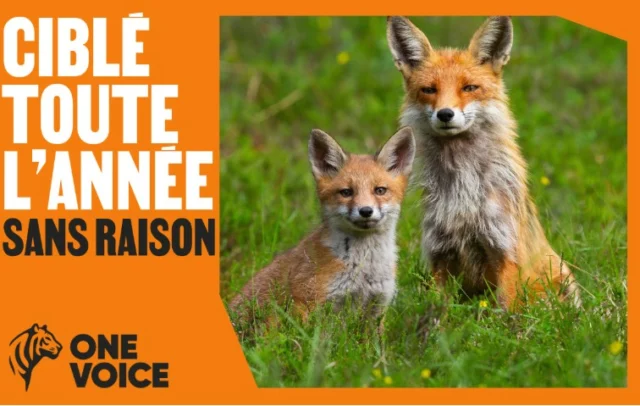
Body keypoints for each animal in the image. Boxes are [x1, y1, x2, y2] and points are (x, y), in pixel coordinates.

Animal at [229, 127, 416, 330]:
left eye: (380, 190)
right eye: (346, 192)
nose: (366, 211)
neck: (365, 267)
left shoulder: (377, 308)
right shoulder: (308, 302)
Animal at [385, 16, 581, 310]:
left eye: (469, 88)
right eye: (429, 90)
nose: (445, 114)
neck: (463, 190)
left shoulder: (503, 248)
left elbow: (507, 309)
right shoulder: (439, 253)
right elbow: (438, 310)